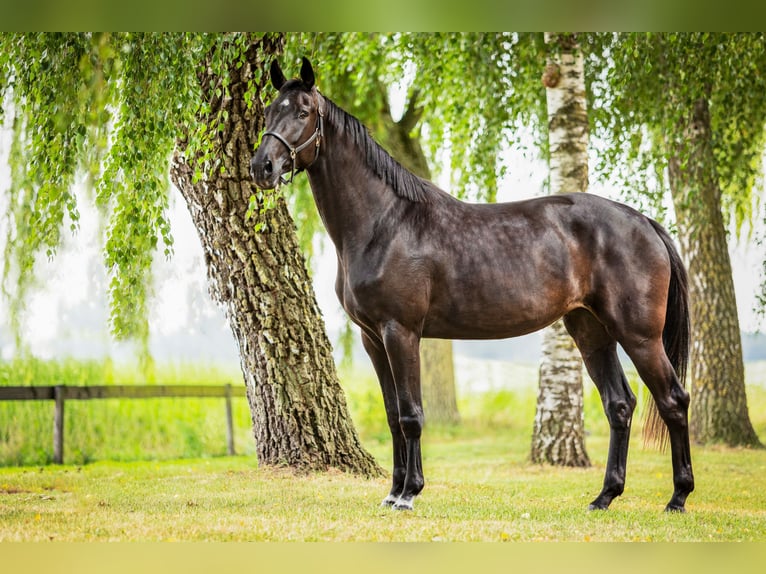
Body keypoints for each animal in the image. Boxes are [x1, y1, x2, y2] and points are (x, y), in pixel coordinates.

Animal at [252, 58, 696, 516]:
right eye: (267, 111)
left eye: (303, 112)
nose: (261, 167)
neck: (385, 223)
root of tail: (644, 222)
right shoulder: (372, 338)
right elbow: (393, 418)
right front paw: (392, 493)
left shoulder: (401, 332)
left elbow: (411, 415)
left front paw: (409, 493)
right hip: (592, 331)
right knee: (619, 405)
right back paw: (605, 496)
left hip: (639, 335)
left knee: (674, 400)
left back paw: (678, 497)